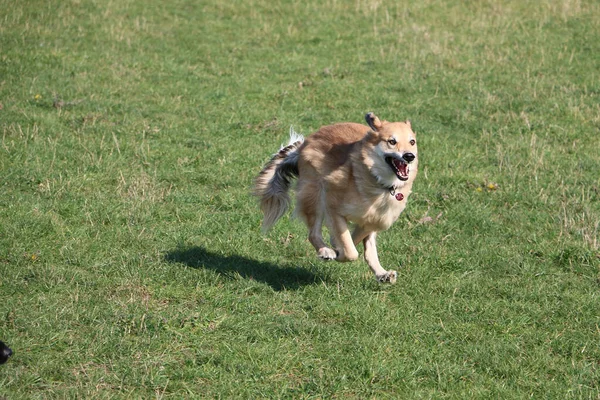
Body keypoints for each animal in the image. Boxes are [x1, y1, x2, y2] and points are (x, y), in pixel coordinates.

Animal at [255, 111, 420, 282]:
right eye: (392, 141)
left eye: (412, 142)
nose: (409, 156)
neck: (379, 182)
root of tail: (303, 145)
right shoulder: (334, 208)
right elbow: (350, 250)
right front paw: (337, 252)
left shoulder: (376, 218)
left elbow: (358, 239)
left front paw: (338, 245)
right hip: (315, 195)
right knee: (313, 233)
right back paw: (325, 251)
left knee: (368, 248)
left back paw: (382, 273)